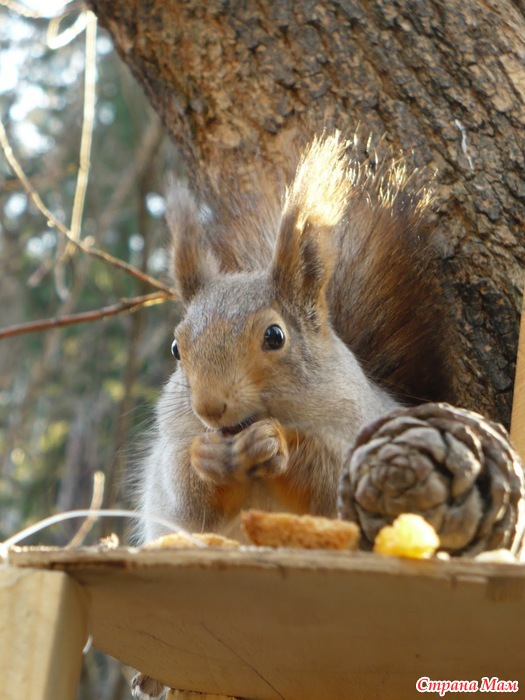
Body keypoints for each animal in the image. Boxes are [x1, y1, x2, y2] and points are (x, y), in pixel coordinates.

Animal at [138, 134, 450, 544]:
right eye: (176, 349)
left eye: (274, 336)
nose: (209, 407)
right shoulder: (172, 451)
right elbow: (188, 500)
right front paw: (205, 455)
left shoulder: (355, 429)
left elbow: (325, 479)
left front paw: (273, 442)